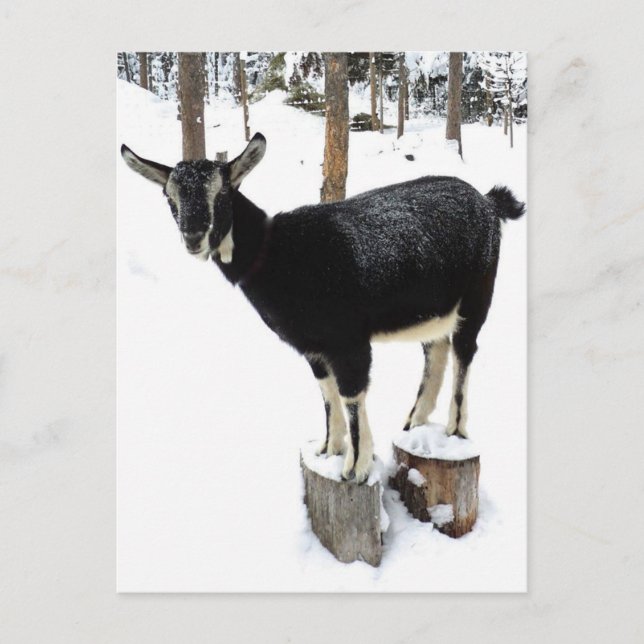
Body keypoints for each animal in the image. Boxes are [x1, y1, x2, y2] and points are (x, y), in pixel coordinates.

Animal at [121, 133, 525, 484]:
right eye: (169, 196)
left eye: (222, 192)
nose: (193, 237)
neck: (277, 254)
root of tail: (488, 201)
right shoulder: (312, 347)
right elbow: (327, 394)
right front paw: (328, 450)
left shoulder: (348, 340)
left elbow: (350, 395)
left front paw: (355, 468)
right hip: (434, 308)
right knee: (435, 350)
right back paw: (414, 423)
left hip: (477, 293)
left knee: (464, 351)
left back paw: (455, 430)